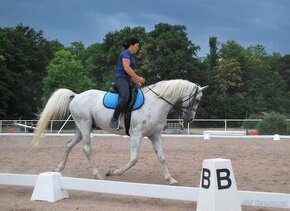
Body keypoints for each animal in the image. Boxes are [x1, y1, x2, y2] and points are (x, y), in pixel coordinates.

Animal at [31, 78, 207, 185]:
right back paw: (98, 174)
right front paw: (113, 172)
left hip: (82, 129)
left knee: (68, 145)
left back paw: (58, 169)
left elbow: (162, 158)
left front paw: (170, 179)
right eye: (197, 100)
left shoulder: (155, 135)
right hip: (85, 126)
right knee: (87, 149)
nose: (190, 119)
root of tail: (76, 95)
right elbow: (134, 159)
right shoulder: (137, 135)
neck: (155, 104)